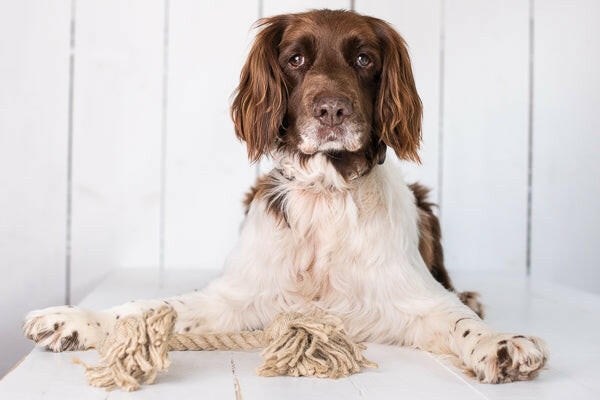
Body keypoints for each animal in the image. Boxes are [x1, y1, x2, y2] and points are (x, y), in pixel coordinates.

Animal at [23, 10, 548, 384]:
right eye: (295, 60)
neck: (326, 193)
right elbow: (146, 309)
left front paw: (502, 344)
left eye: (364, 59)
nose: (332, 110)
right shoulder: (236, 298)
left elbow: (458, 320)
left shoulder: (416, 298)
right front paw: (75, 319)